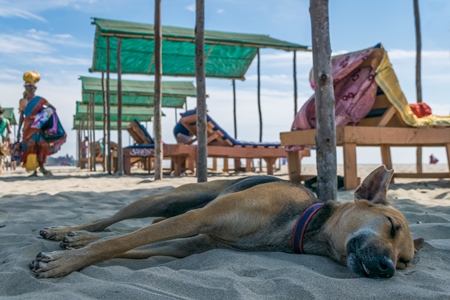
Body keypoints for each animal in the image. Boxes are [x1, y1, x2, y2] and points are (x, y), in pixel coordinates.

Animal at [30, 165, 422, 278]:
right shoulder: (200, 218)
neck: (298, 224)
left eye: (405, 263)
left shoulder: (190, 243)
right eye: (391, 225)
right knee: (112, 220)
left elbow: (127, 247)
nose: (388, 268)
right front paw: (64, 263)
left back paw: (75, 236)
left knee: (132, 227)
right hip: (169, 199)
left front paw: (68, 253)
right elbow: (116, 242)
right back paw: (66, 230)